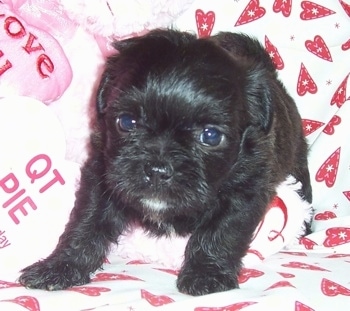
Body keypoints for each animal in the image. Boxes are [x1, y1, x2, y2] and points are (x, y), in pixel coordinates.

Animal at [18, 29, 312, 298]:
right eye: (127, 122)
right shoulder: (103, 175)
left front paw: (207, 274)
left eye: (211, 136)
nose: (157, 170)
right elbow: (87, 222)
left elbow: (221, 231)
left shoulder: (245, 189)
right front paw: (60, 266)